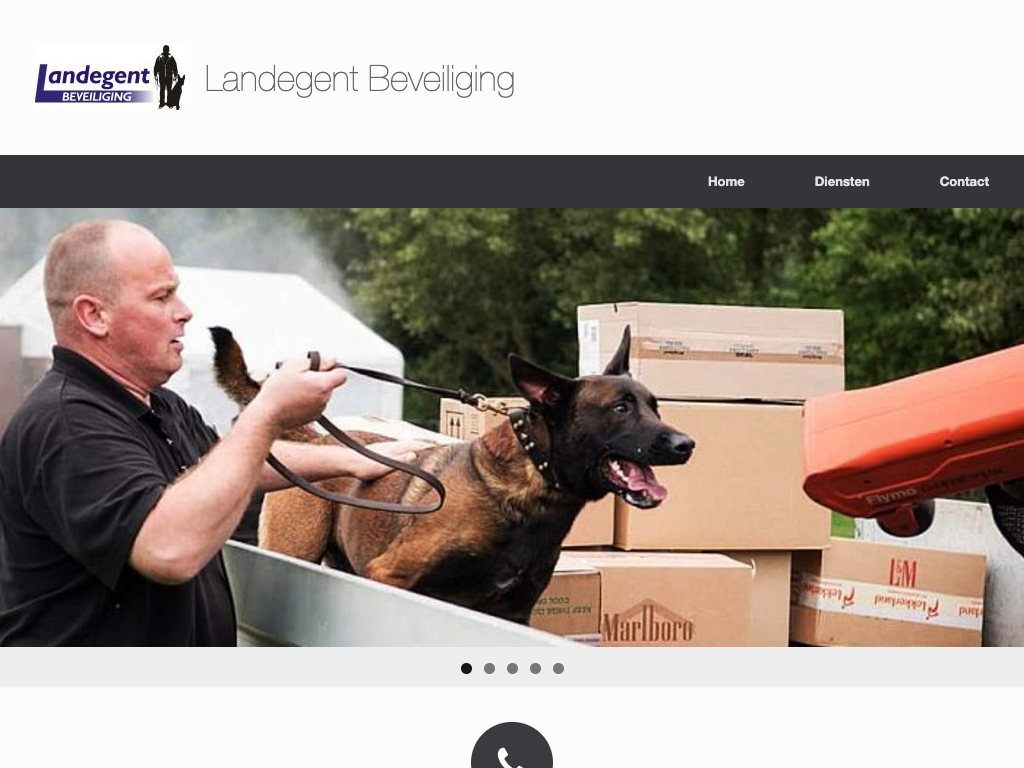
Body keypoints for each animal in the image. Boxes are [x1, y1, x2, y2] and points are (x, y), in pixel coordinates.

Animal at [211, 326, 695, 624]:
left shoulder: (514, 612)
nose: (686, 444)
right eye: (620, 408)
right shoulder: (390, 576)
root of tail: (317, 439)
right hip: (296, 551)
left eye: (655, 406)